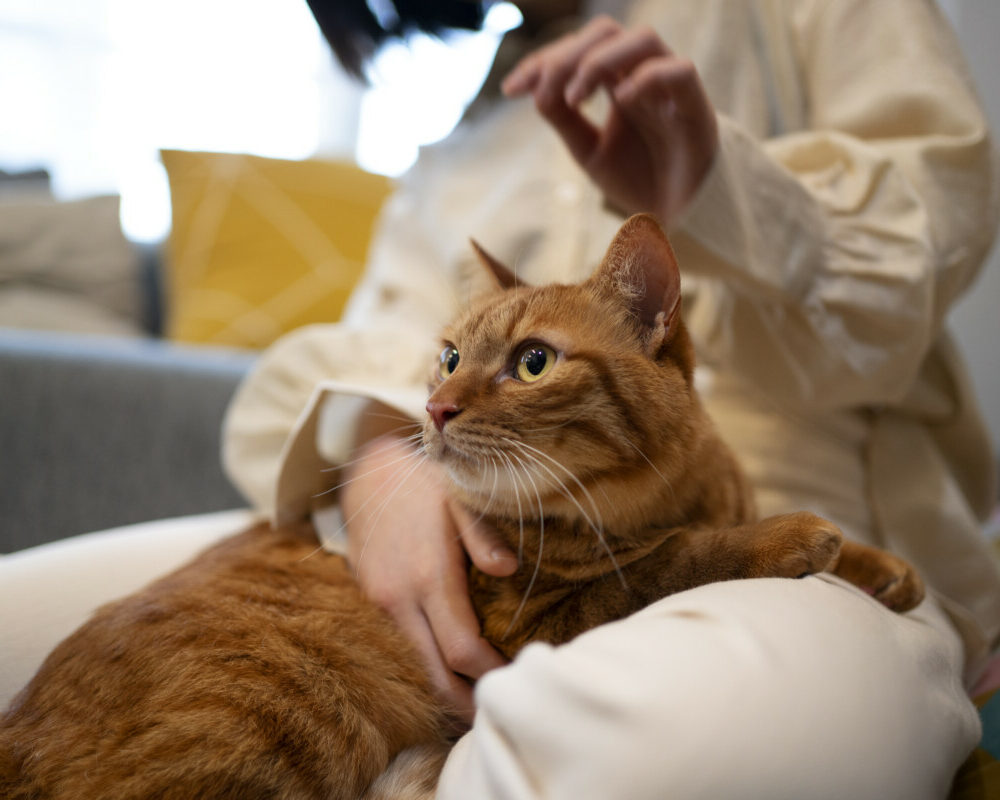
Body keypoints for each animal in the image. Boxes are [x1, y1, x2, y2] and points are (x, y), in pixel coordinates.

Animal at [0, 214, 920, 800]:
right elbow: (676, 560)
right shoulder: (538, 628)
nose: (435, 407)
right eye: (447, 357)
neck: (657, 500)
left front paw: (886, 566)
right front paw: (791, 535)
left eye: (533, 362)